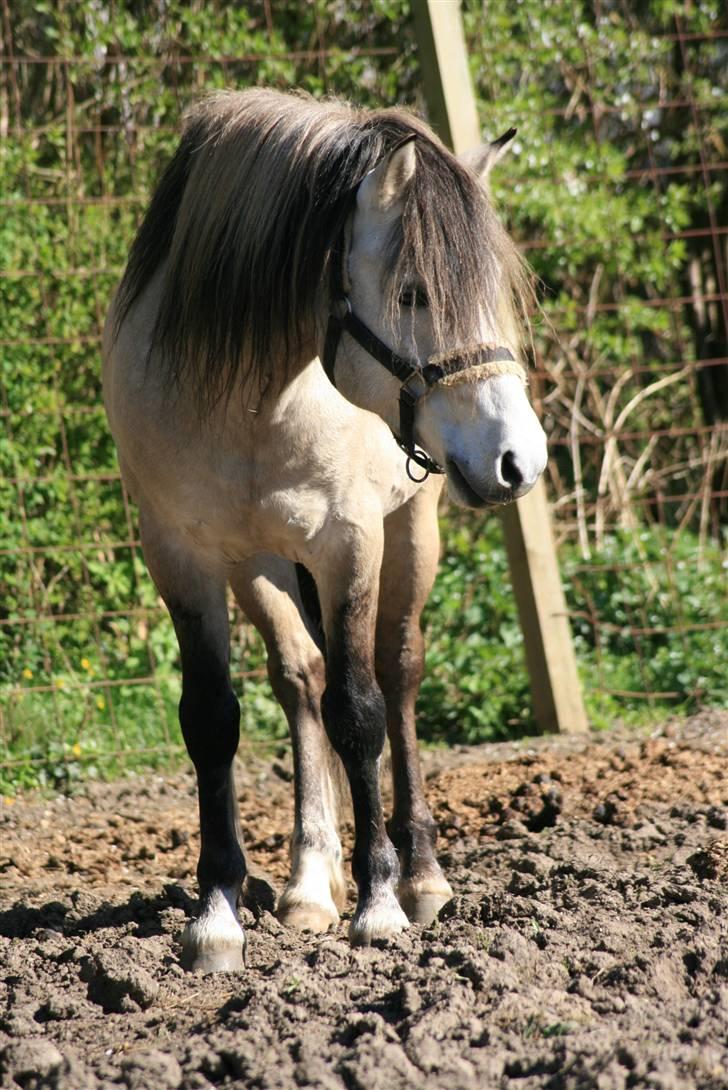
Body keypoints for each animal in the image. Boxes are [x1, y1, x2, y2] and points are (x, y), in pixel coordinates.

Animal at [100, 87, 544, 972]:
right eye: (412, 294)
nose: (520, 459)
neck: (251, 392)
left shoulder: (350, 545)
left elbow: (360, 711)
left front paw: (379, 905)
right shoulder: (182, 554)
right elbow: (214, 719)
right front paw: (218, 913)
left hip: (410, 532)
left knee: (397, 673)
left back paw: (421, 875)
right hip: (261, 561)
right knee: (299, 678)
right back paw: (310, 884)